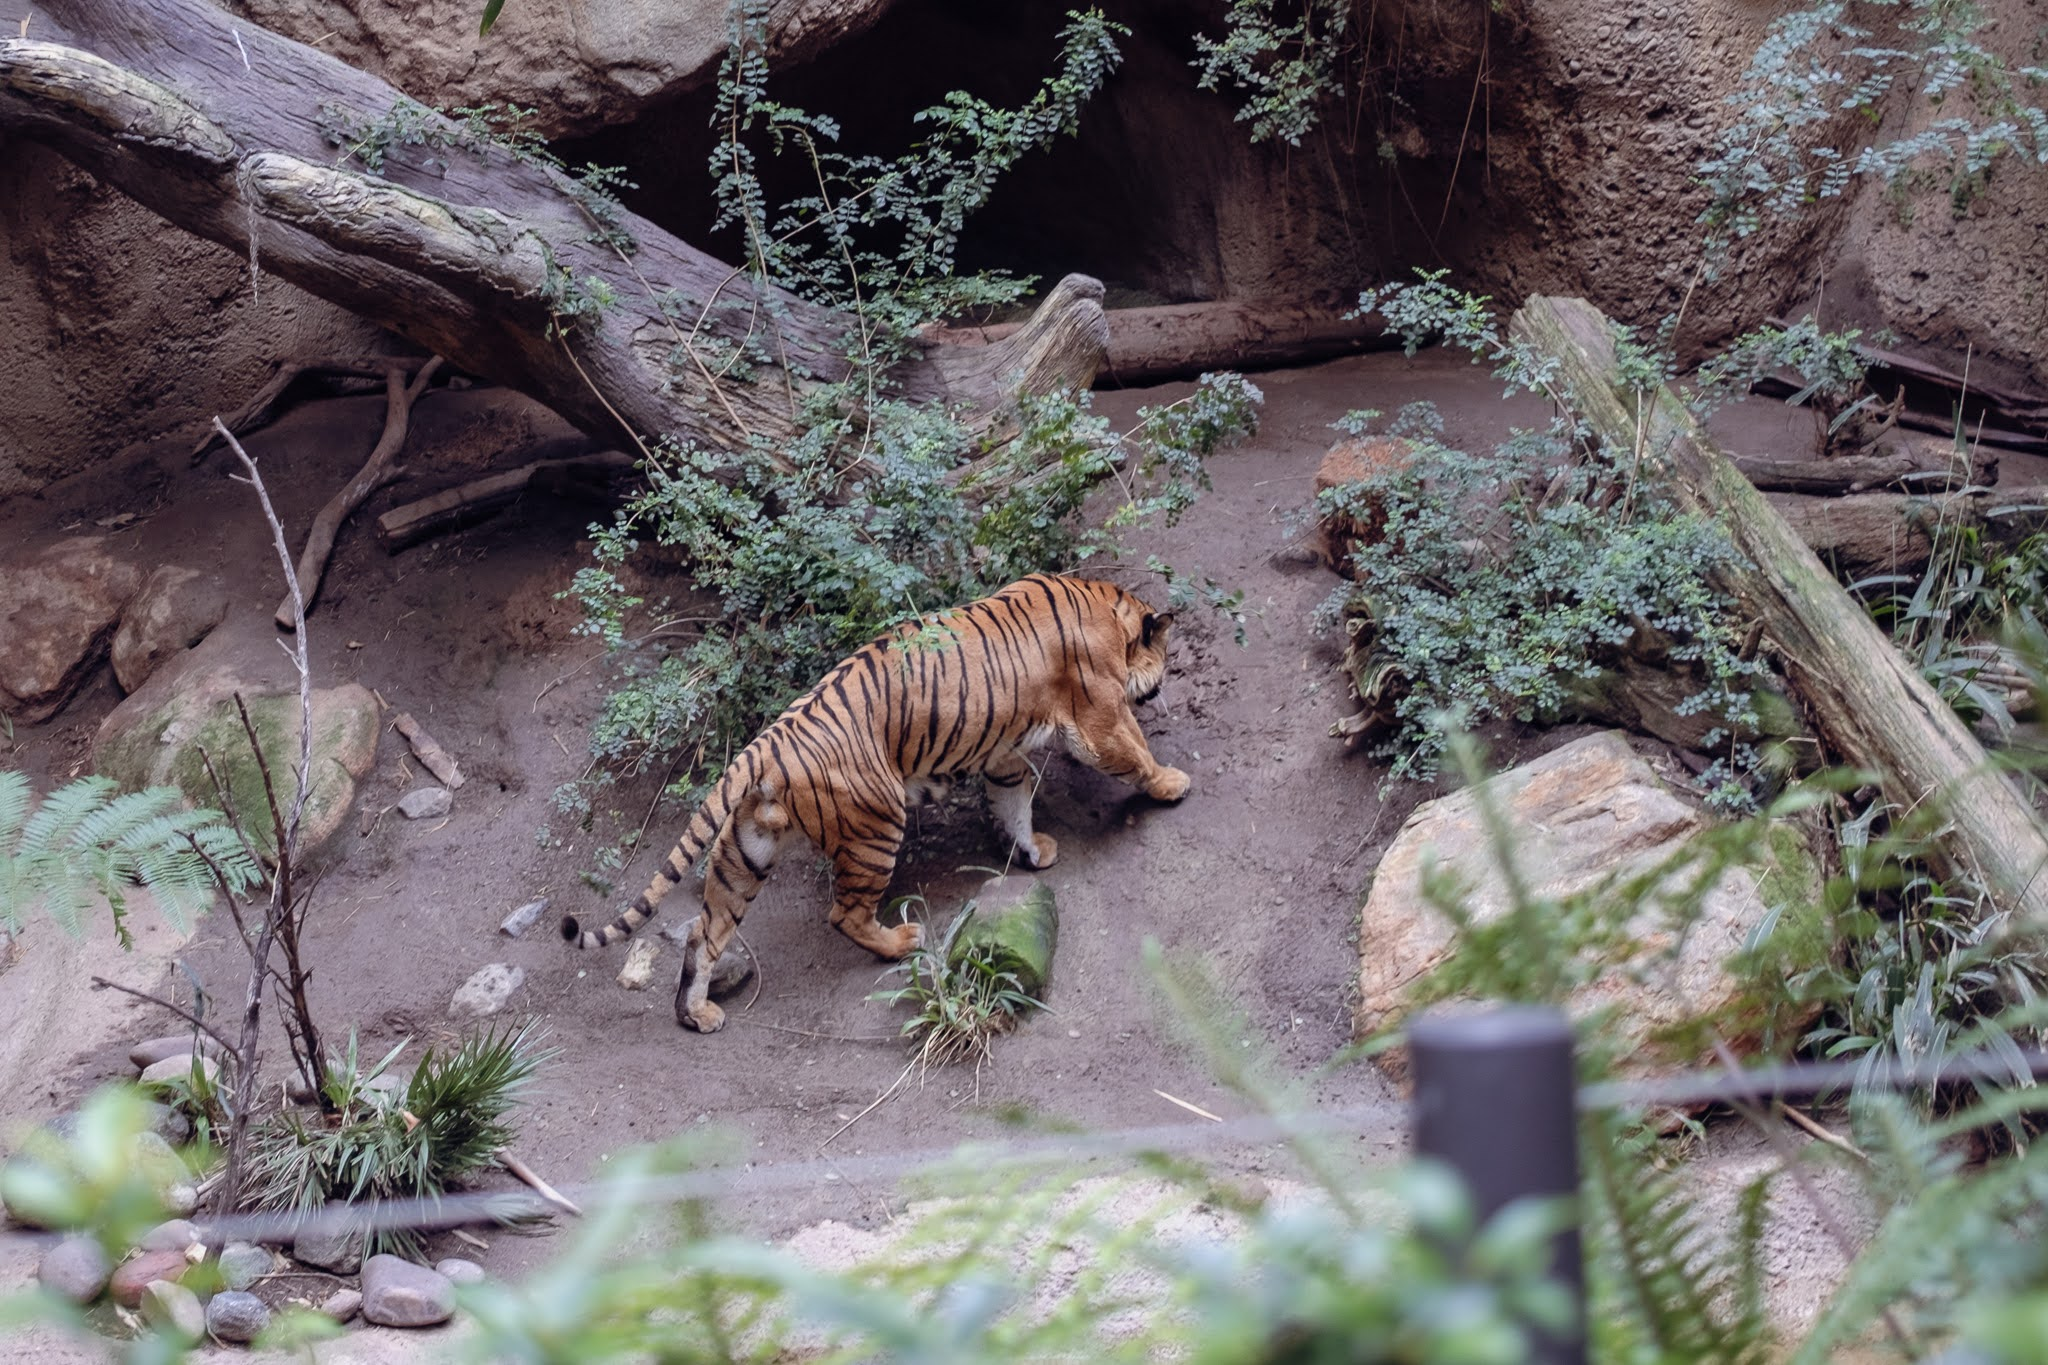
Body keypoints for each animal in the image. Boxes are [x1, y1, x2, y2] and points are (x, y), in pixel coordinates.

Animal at [560, 574, 1190, 1034]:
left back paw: (696, 1014)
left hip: (744, 854)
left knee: (703, 934)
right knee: (845, 914)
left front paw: (1031, 852)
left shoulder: (1002, 752)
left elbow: (1014, 799)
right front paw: (1172, 783)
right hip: (878, 825)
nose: (1164, 683)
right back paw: (900, 942)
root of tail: (764, 745)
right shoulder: (1099, 718)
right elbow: (1134, 751)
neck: (1110, 608)